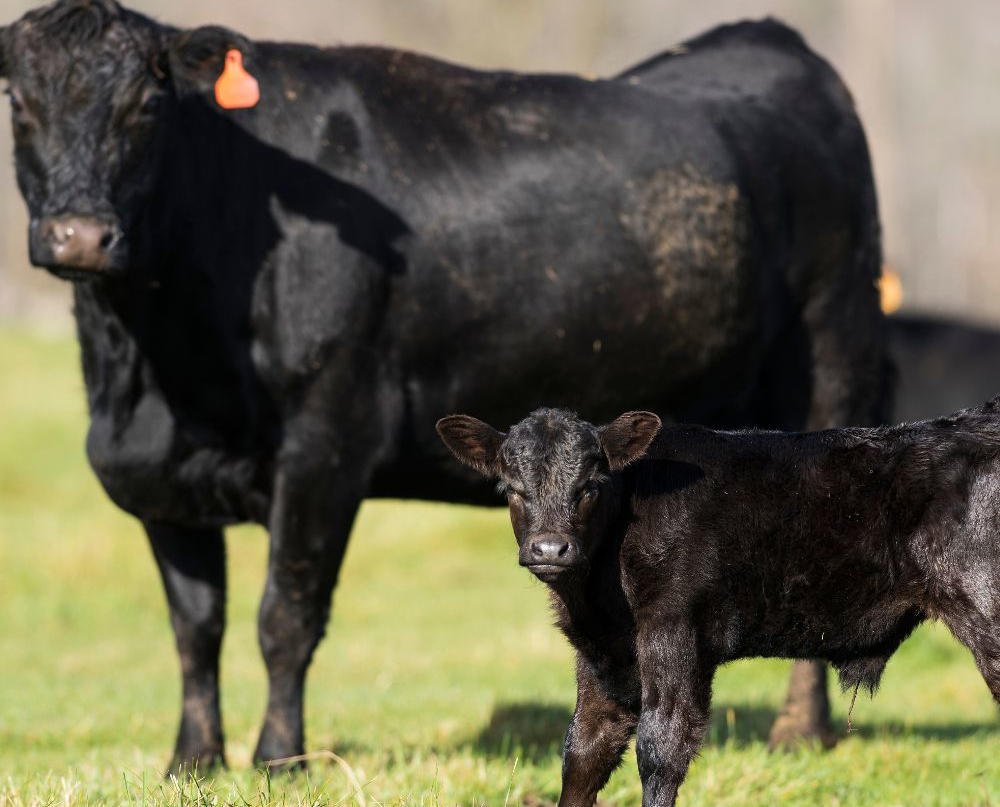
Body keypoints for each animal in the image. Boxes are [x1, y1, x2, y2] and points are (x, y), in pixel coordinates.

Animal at [0, 0, 892, 772]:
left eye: (147, 105)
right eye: (17, 100)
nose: (79, 235)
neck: (153, 376)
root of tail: (769, 37)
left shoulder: (327, 443)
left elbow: (284, 614)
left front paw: (279, 757)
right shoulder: (161, 475)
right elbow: (195, 627)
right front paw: (192, 760)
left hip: (837, 360)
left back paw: (799, 730)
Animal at [440, 408, 1000, 807]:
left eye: (591, 486)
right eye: (510, 488)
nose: (551, 549)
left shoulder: (674, 631)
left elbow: (661, 748)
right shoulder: (605, 653)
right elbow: (584, 751)